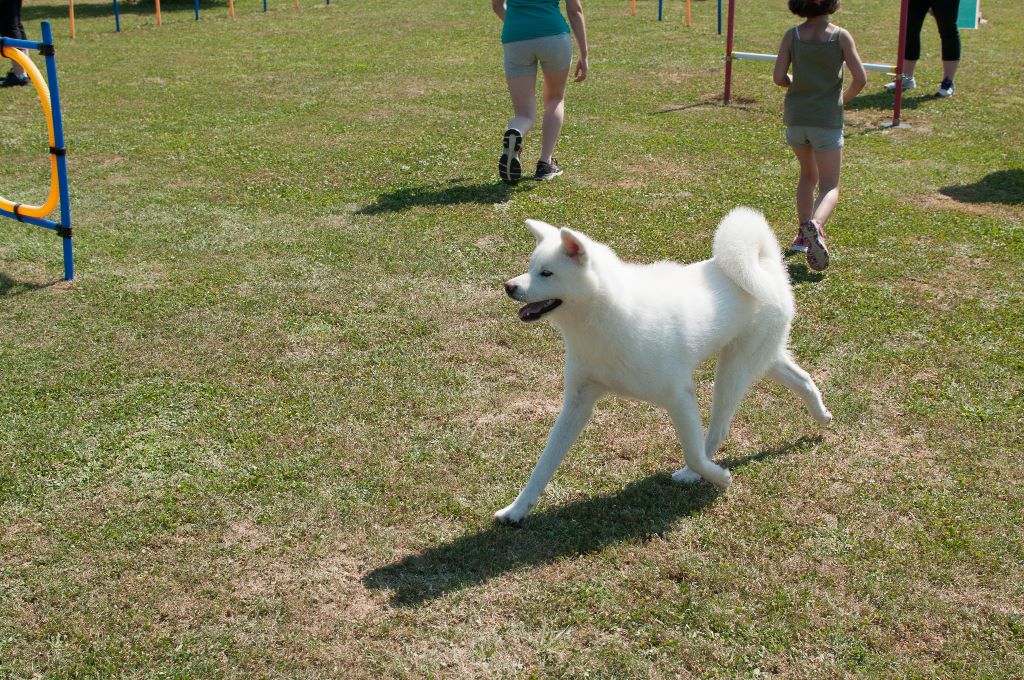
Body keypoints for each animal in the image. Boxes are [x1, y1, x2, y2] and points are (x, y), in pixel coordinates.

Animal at [495, 206, 831, 524]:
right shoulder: (577, 404)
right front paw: (517, 510)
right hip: (759, 359)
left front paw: (718, 477)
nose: (508, 286)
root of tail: (765, 264)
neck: (604, 318)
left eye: (546, 273)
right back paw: (822, 415)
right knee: (802, 378)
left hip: (732, 371)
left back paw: (696, 473)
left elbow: (693, 453)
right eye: (531, 268)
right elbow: (543, 465)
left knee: (718, 430)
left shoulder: (678, 396)